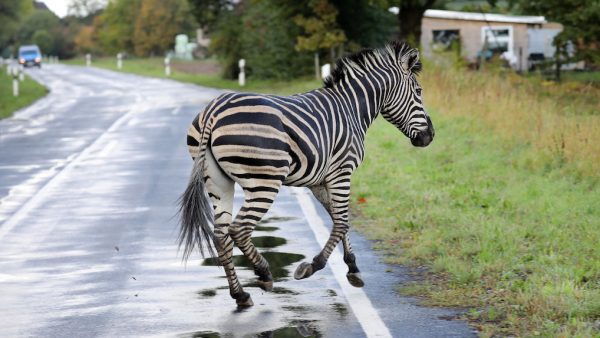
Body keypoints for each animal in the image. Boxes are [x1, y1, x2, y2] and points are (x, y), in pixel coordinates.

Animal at [179, 40, 436, 306]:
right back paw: (264, 273)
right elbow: (341, 222)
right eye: (419, 91)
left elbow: (338, 218)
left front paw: (353, 269)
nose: (430, 136)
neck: (352, 109)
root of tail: (213, 111)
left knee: (221, 235)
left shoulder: (319, 181)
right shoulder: (342, 172)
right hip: (264, 181)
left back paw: (240, 294)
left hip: (217, 181)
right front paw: (313, 266)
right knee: (238, 229)